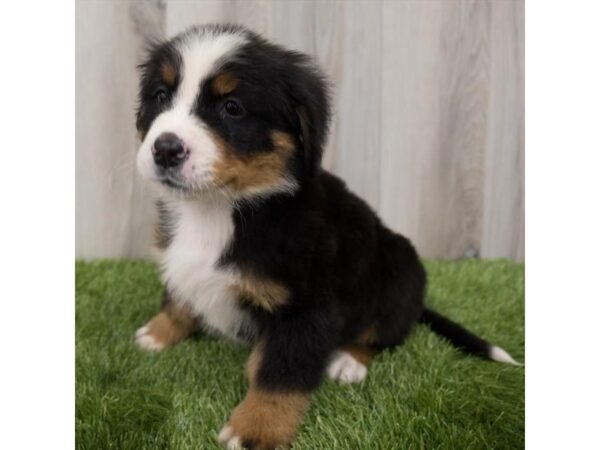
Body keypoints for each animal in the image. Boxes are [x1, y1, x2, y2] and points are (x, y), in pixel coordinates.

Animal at [134, 25, 516, 450]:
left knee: (383, 331)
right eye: (161, 96)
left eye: (232, 107)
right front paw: (159, 331)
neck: (218, 209)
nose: (165, 149)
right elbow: (179, 296)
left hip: (398, 272)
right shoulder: (180, 261)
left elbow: (279, 374)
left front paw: (256, 429)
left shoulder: (306, 307)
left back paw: (348, 362)